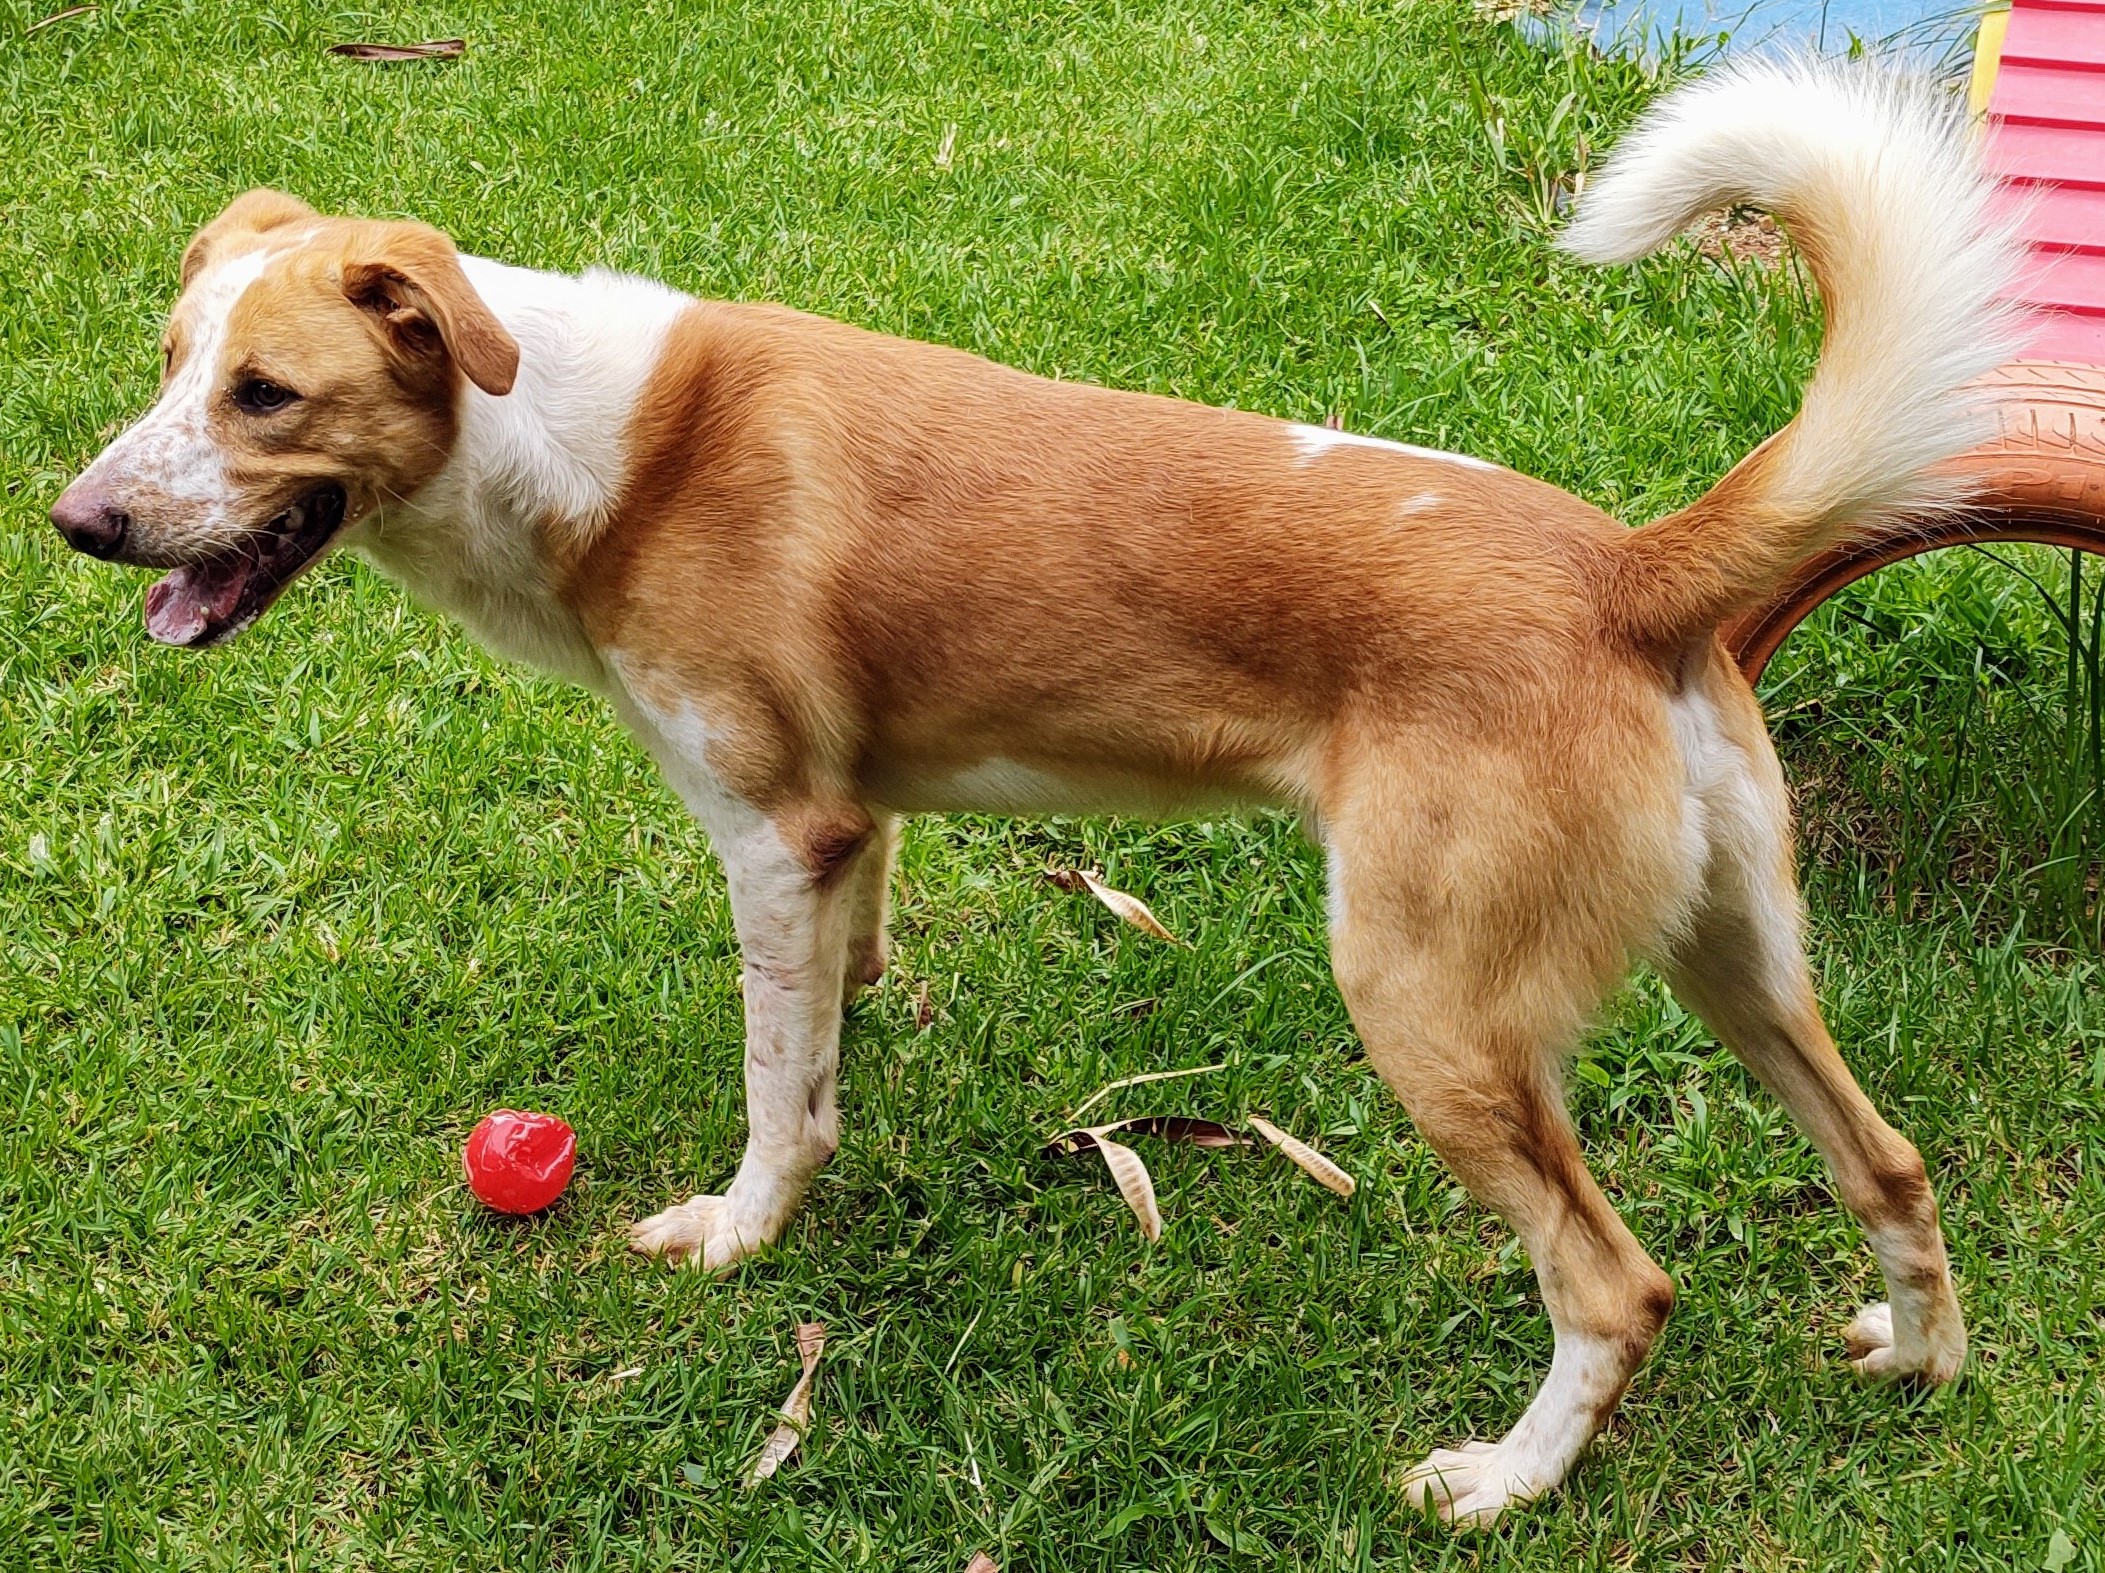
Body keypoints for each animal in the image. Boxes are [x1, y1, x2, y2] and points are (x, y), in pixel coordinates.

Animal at [53, 61, 2020, 1524]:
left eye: (265, 395)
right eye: (166, 364)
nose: (76, 521)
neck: (586, 438)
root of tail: (1631, 568)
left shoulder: (769, 830)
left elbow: (776, 1097)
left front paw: (746, 1236)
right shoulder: (849, 824)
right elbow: (833, 1003)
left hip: (1427, 1007)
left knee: (1619, 1286)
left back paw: (1505, 1480)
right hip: (1742, 960)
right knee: (1890, 1157)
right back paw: (1920, 1360)